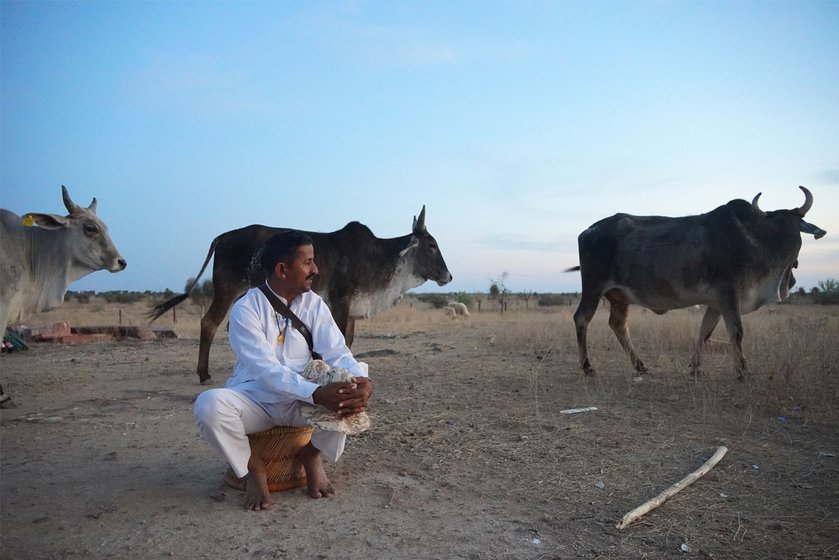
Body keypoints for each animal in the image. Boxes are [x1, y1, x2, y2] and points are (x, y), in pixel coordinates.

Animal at [151, 206, 452, 384]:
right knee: (209, 323)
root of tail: (222, 236)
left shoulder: (352, 309)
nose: (448, 276)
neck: (377, 258)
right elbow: (342, 339)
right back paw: (204, 374)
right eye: (431, 245)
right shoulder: (340, 302)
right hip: (226, 288)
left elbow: (348, 341)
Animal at [572, 186, 828, 378]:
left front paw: (696, 367)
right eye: (781, 224)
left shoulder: (716, 303)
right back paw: (587, 367)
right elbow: (736, 331)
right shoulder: (729, 294)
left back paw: (640, 365)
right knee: (582, 318)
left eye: (795, 224)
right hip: (594, 287)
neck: (759, 238)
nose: (792, 277)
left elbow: (704, 333)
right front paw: (742, 371)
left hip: (619, 297)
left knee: (618, 324)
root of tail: (588, 230)